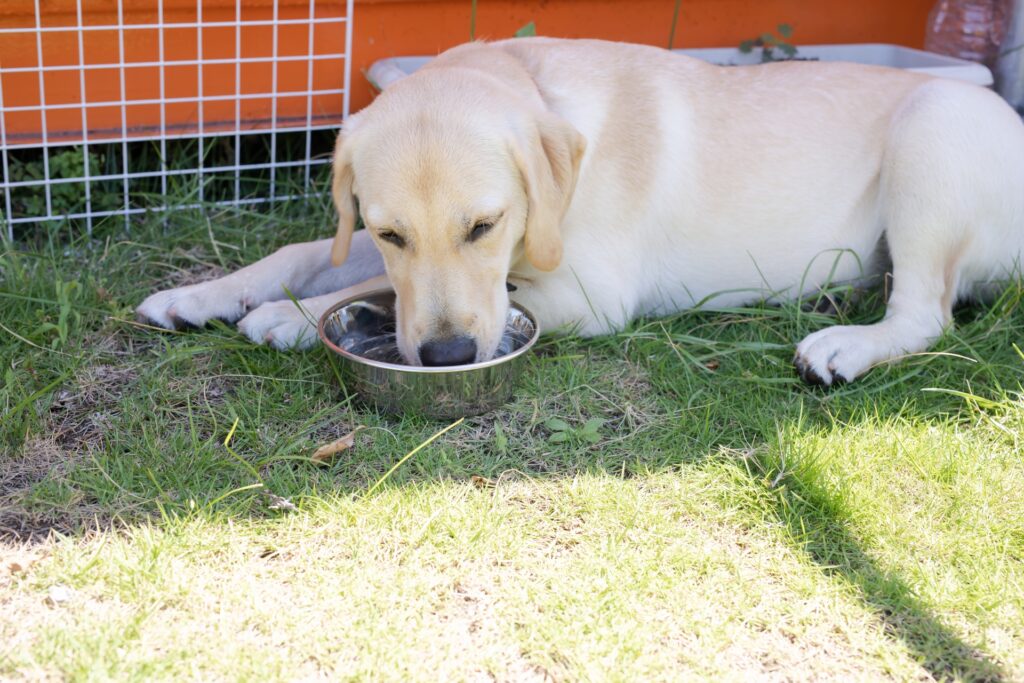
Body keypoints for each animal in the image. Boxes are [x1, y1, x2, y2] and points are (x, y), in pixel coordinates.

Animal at [136, 38, 1024, 385]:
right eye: (389, 231)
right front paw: (201, 294)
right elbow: (308, 257)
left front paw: (288, 317)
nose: (450, 357)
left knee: (926, 314)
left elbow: (377, 290)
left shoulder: (586, 294)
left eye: (484, 225)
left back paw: (846, 342)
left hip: (933, 127)